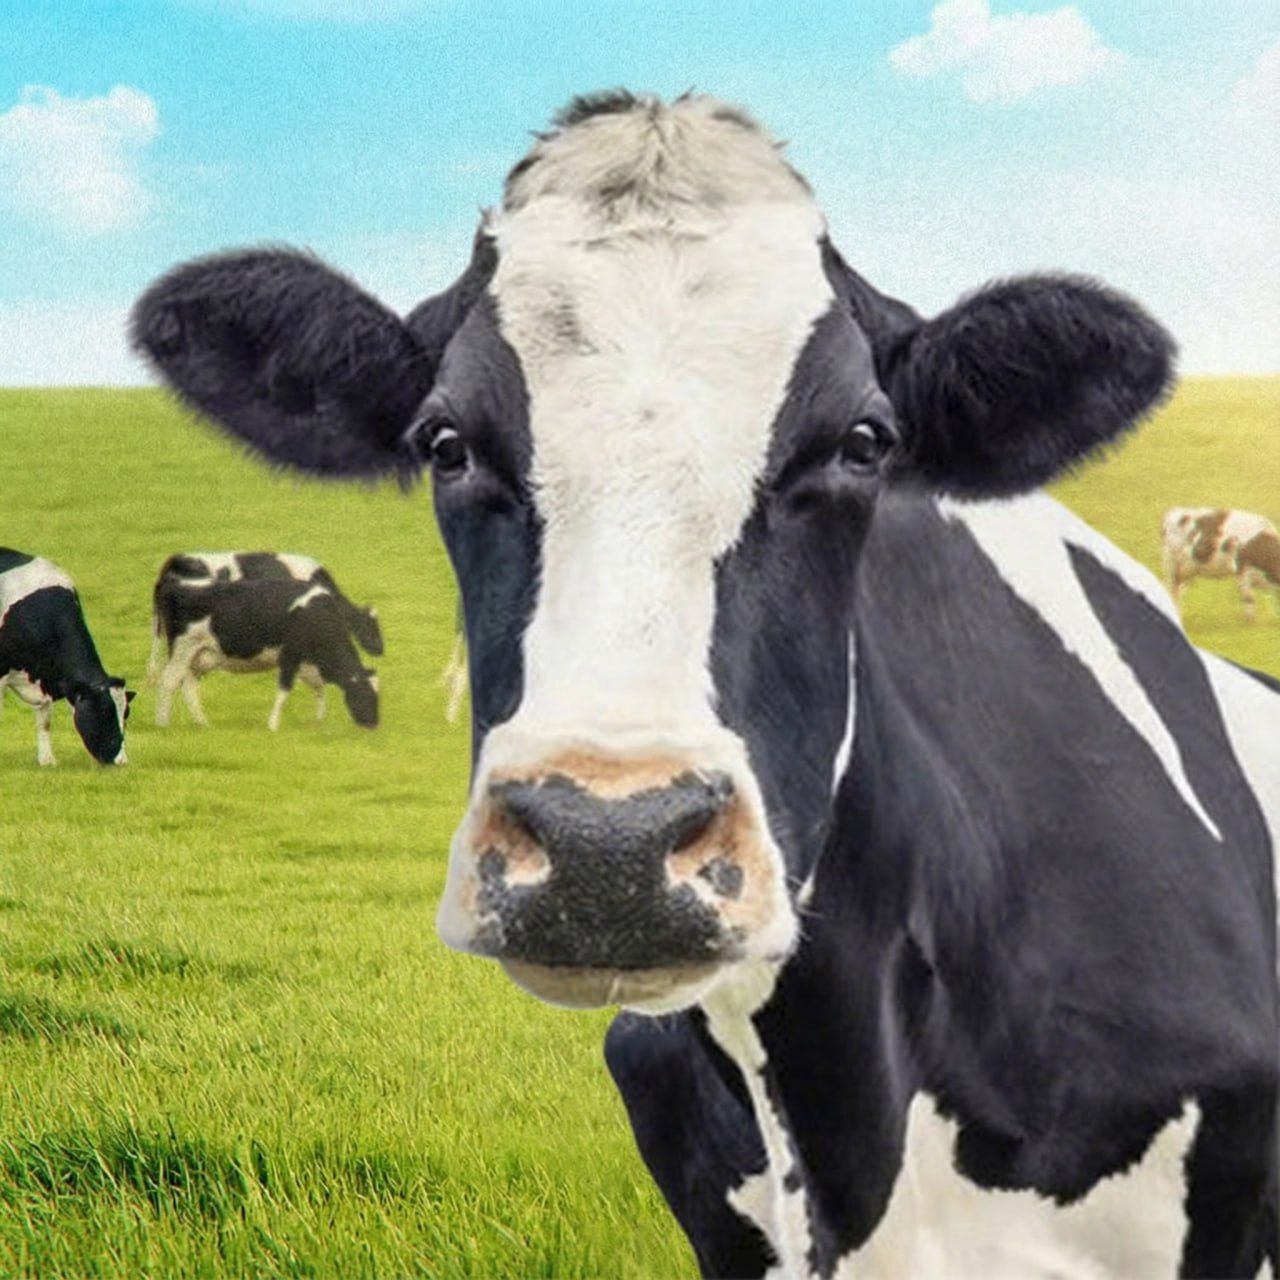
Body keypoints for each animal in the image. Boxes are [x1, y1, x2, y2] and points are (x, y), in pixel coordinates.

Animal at [152, 575, 379, 731]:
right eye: (366, 695)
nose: (373, 725)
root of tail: (173, 582)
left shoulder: (309, 661)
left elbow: (318, 686)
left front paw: (320, 720)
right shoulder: (289, 655)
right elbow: (285, 690)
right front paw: (273, 724)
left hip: (199, 654)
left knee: (189, 685)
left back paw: (203, 723)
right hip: (183, 648)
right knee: (169, 682)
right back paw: (163, 723)